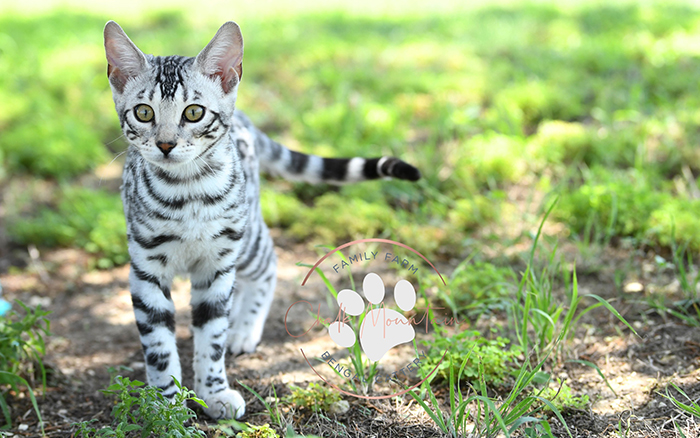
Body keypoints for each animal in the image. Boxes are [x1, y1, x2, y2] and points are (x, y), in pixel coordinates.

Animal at [102, 21, 422, 420]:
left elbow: (212, 336)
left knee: (268, 261)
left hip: (245, 237)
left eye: (193, 113)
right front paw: (165, 405)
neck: (186, 194)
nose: (165, 144)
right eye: (144, 113)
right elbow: (159, 345)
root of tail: (245, 119)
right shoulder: (146, 269)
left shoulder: (217, 262)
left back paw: (243, 329)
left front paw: (213, 391)